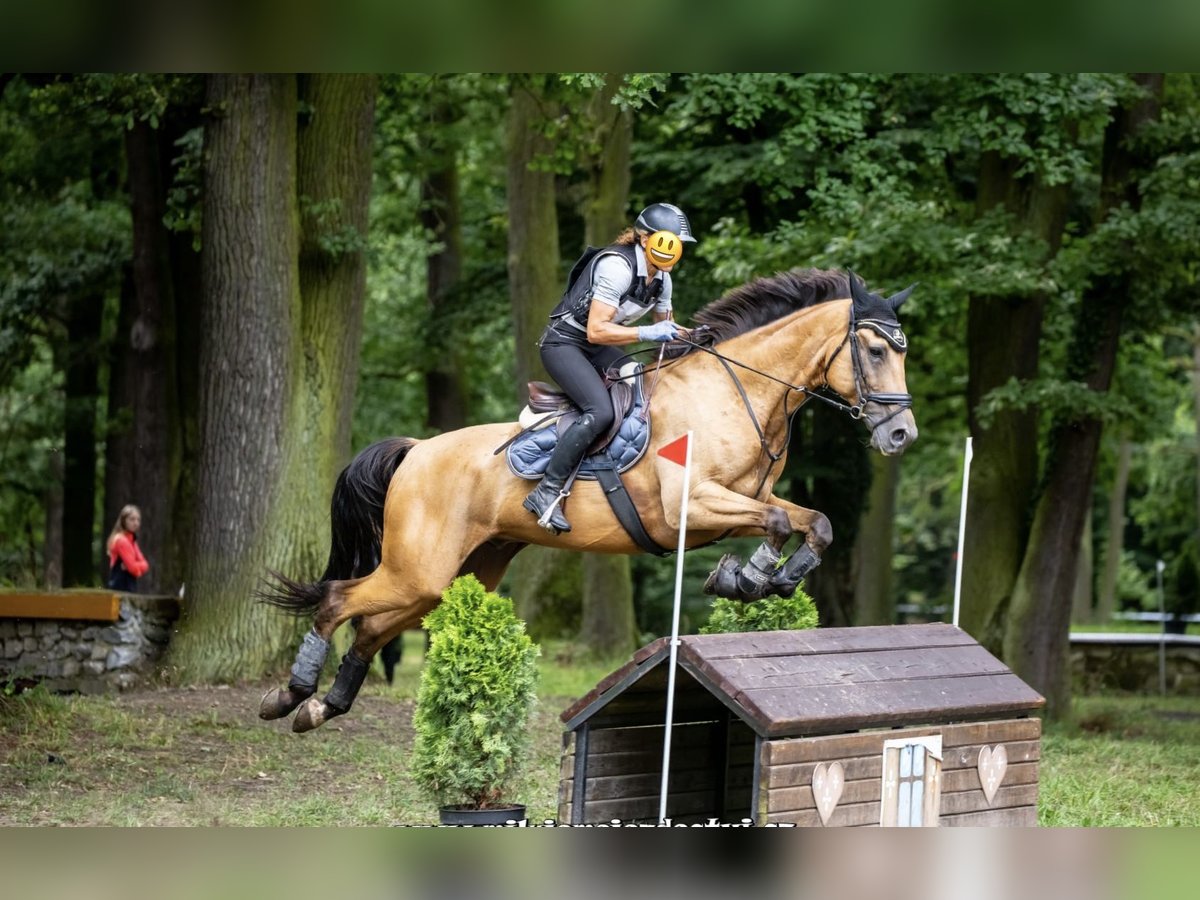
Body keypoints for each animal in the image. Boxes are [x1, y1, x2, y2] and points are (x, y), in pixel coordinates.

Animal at [260, 267, 916, 734]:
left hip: (450, 577)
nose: (901, 436)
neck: (740, 393)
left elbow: (814, 523)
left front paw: (769, 578)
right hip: (418, 567)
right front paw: (746, 578)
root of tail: (418, 450)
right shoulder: (692, 507)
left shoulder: (740, 502)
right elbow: (779, 522)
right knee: (339, 601)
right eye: (875, 351)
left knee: (371, 625)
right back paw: (289, 694)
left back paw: (319, 708)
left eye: (902, 350)